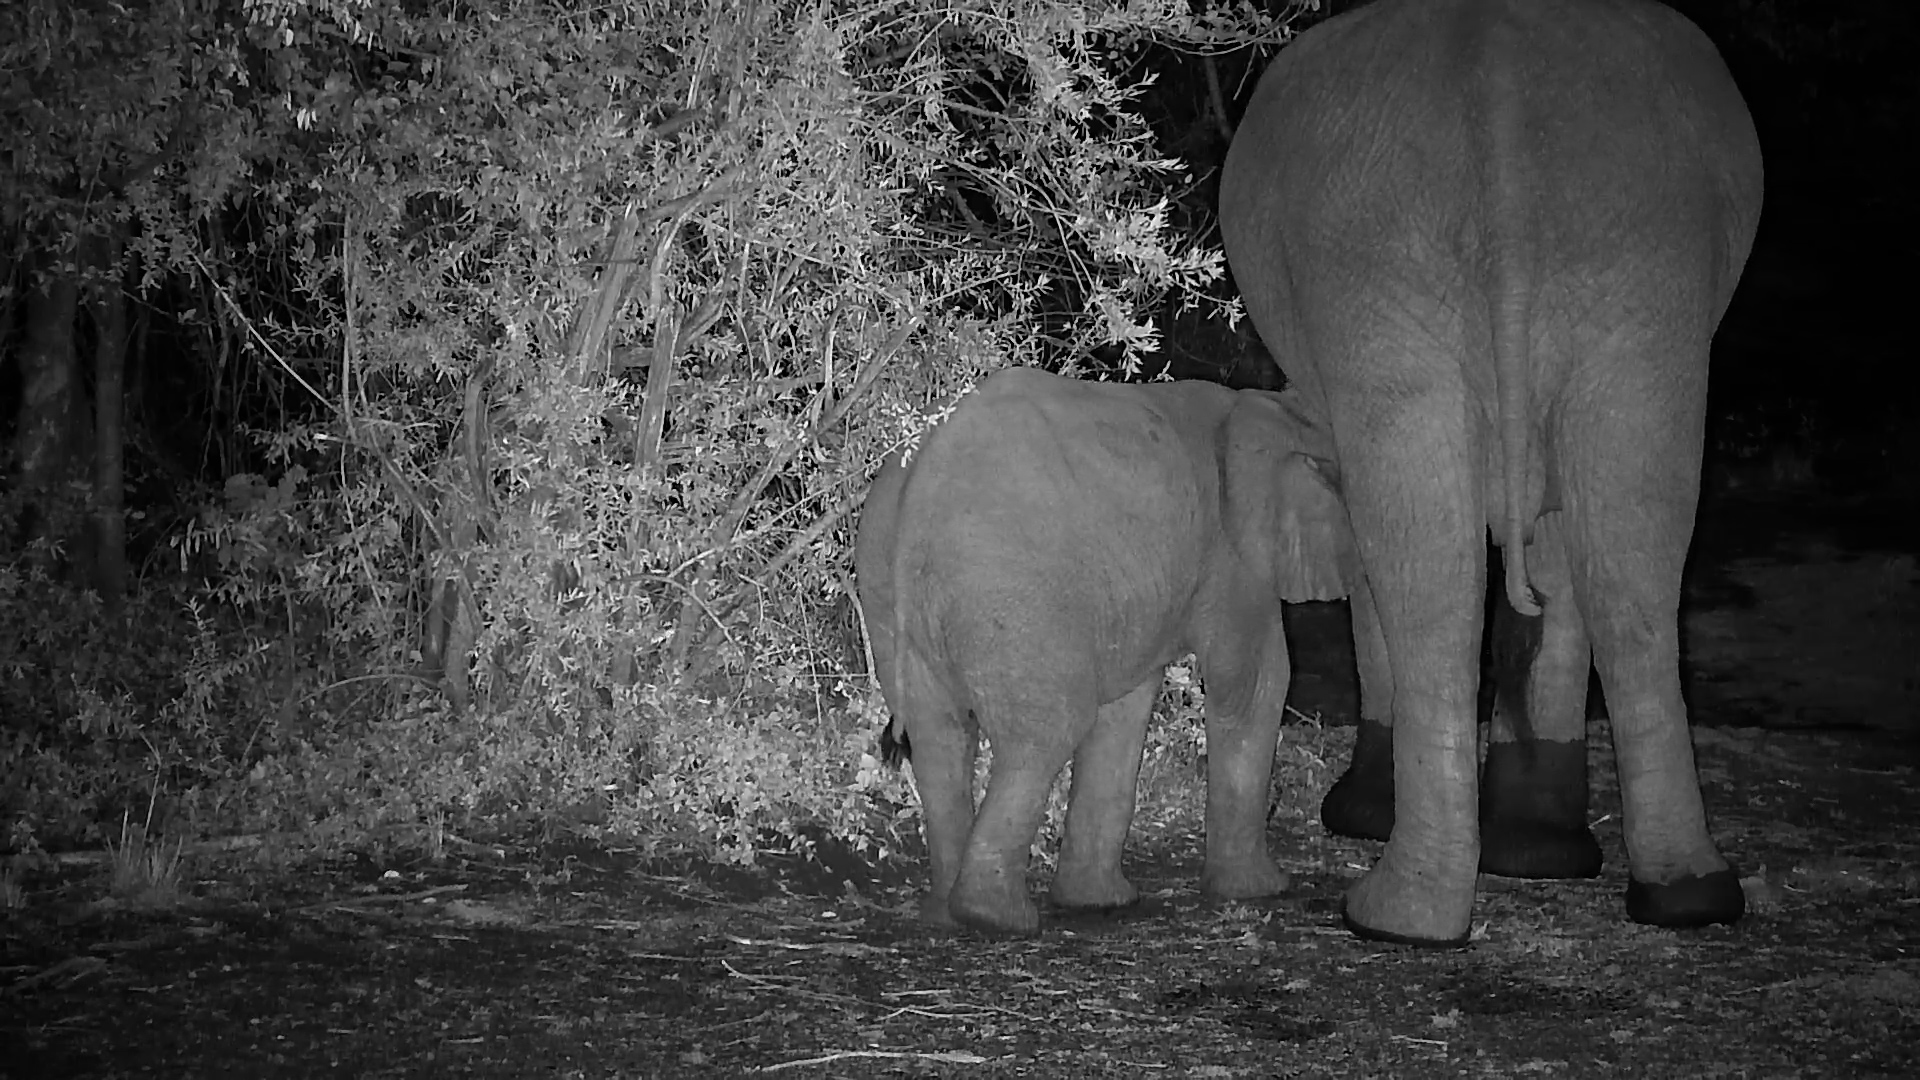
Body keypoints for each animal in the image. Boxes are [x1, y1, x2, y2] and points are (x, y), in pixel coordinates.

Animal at [855, 367, 1357, 934]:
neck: (1282, 409)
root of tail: (920, 482)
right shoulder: (1235, 559)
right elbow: (1256, 686)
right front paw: (1262, 891)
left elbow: (1126, 707)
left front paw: (1099, 902)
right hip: (1008, 587)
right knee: (1046, 732)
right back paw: (998, 918)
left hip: (891, 584)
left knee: (939, 737)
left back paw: (946, 915)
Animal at [1218, 0, 1762, 945]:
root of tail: (1497, 71)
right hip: (1628, 260)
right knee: (1628, 552)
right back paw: (1683, 898)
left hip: (1394, 250)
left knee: (1438, 559)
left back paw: (1395, 920)